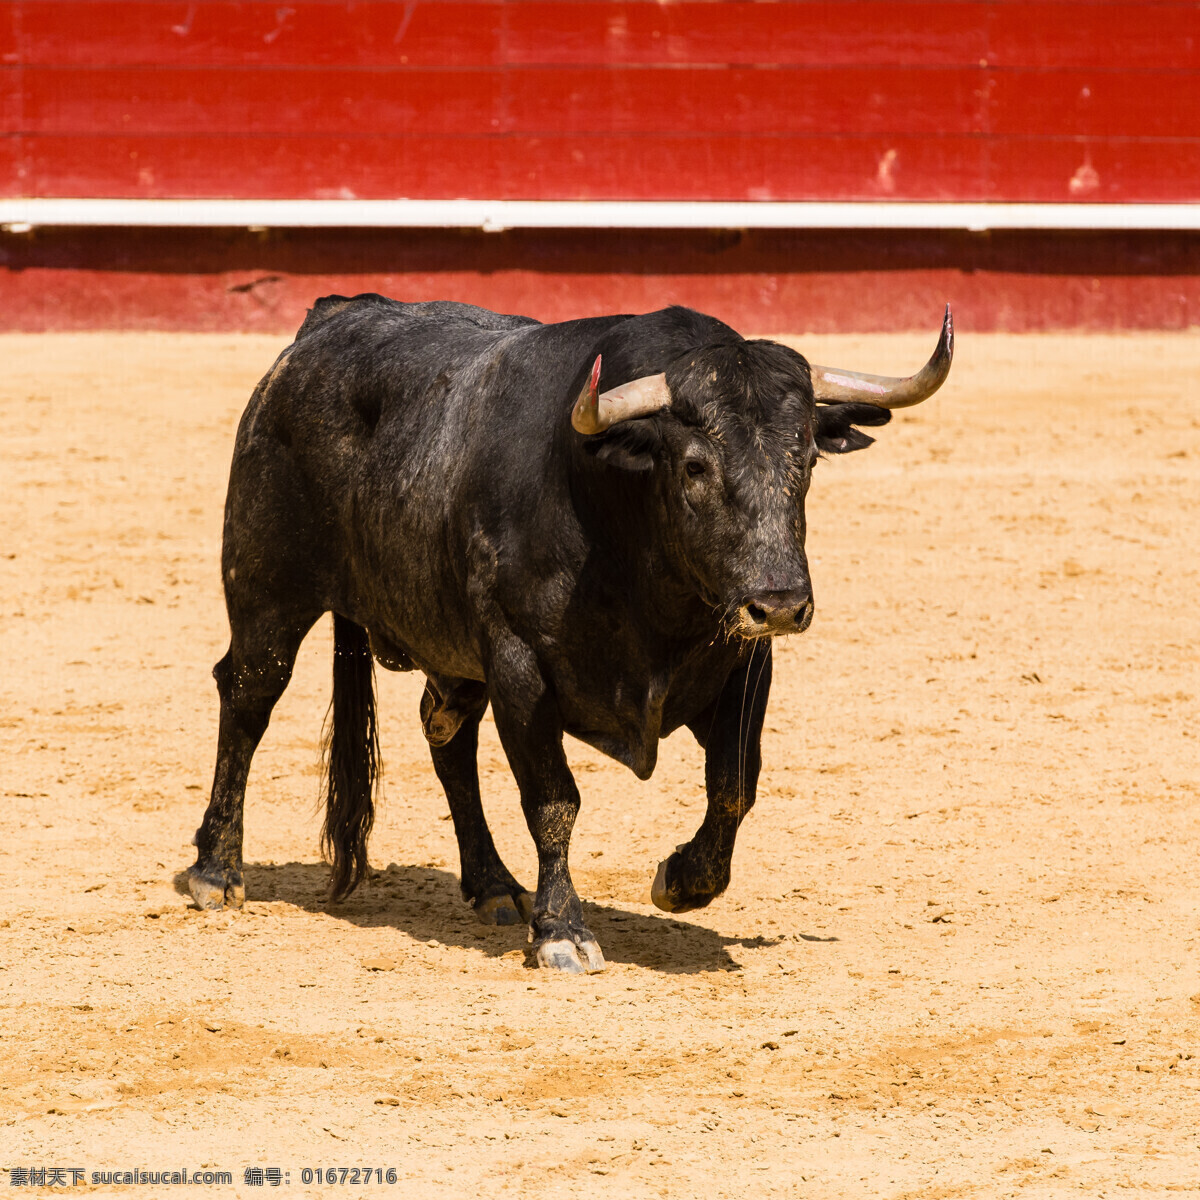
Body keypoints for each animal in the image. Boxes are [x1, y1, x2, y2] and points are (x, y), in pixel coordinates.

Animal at [187, 295, 950, 969]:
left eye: (808, 459)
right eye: (695, 465)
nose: (783, 603)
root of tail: (325, 322)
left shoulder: (744, 660)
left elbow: (735, 785)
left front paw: (682, 881)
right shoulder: (520, 664)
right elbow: (553, 800)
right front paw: (563, 932)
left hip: (450, 653)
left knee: (446, 732)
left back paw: (493, 886)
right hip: (267, 592)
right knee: (249, 695)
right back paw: (216, 871)